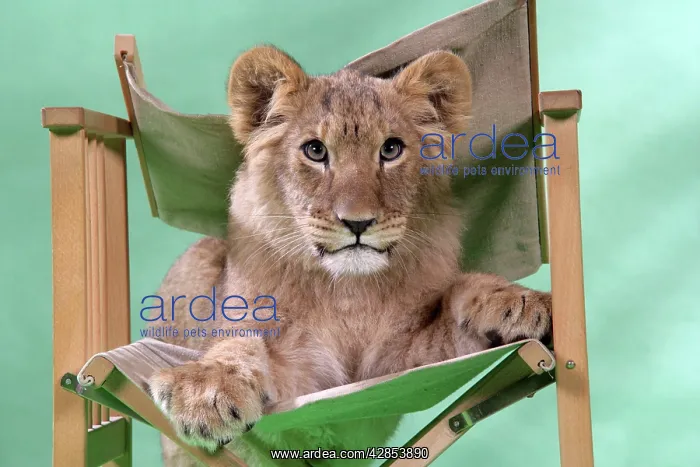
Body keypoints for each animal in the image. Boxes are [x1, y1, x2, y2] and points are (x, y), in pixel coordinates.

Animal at [146, 46, 552, 466]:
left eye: (391, 149)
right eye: (315, 150)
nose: (358, 222)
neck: (348, 295)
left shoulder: (394, 370)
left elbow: (461, 299)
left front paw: (519, 302)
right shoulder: (305, 387)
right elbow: (240, 345)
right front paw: (205, 390)